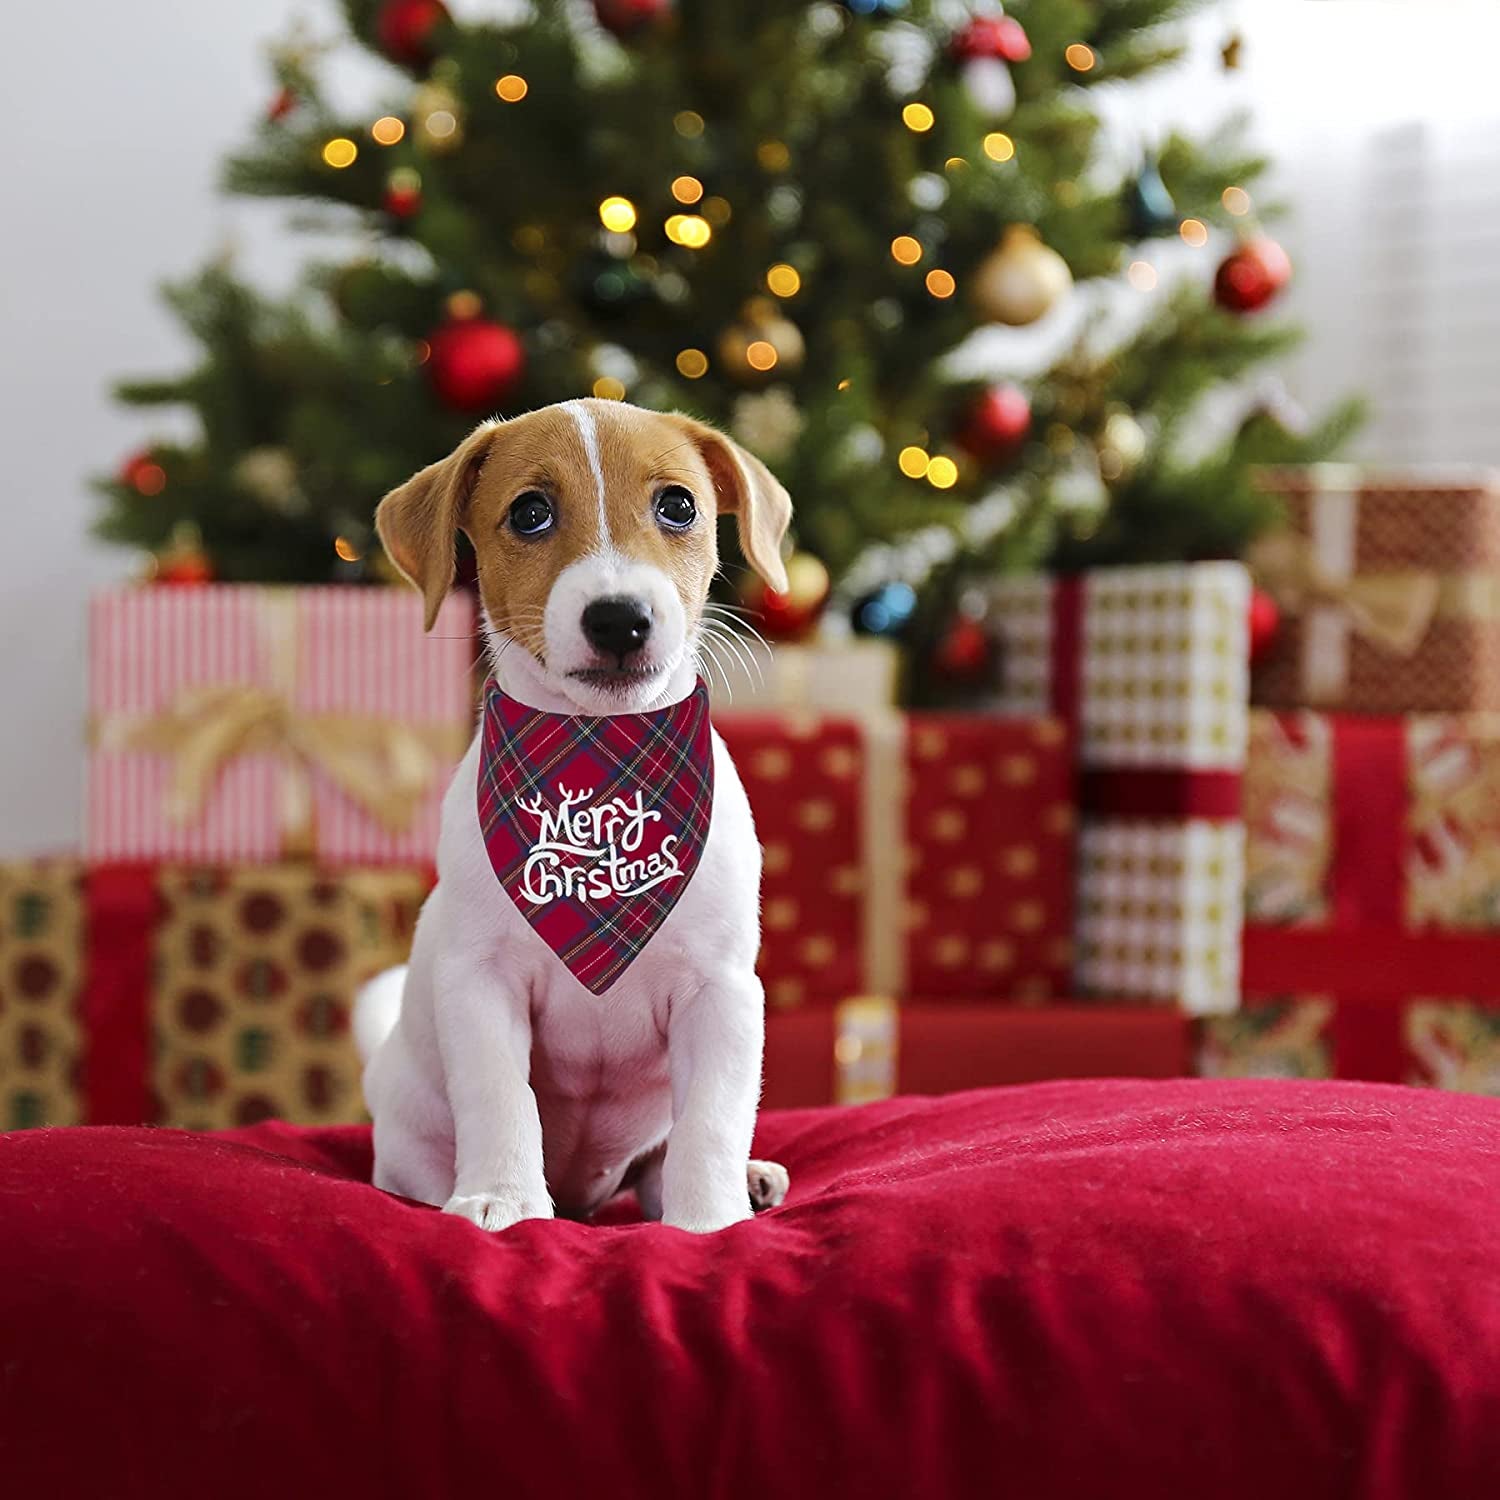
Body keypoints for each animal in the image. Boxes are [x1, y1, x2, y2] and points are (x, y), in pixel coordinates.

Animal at [355, 396, 792, 1230]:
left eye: (679, 505)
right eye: (530, 512)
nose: (619, 619)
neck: (599, 758)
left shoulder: (722, 992)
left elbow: (712, 1121)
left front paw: (709, 1219)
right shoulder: (481, 985)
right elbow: (501, 1100)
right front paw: (501, 1198)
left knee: (661, 1161)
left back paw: (744, 1181)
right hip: (409, 1125)